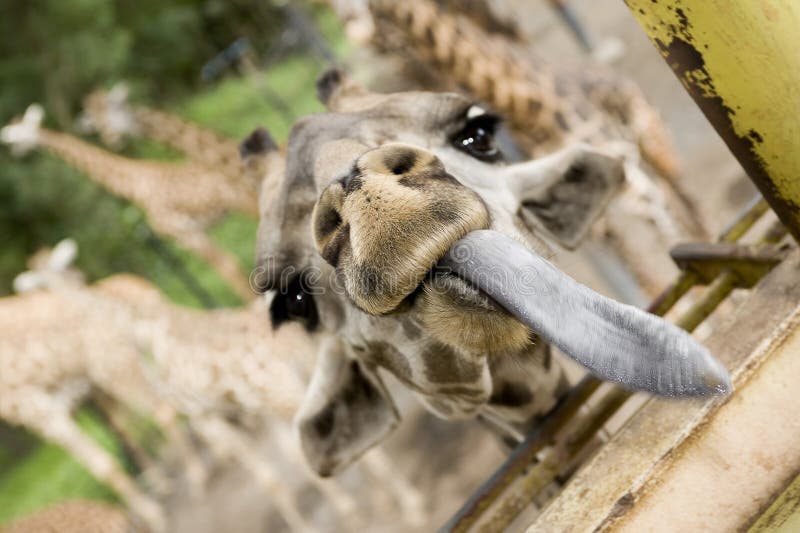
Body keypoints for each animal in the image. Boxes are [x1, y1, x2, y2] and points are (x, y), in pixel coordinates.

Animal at [0, 106, 256, 302]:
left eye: (18, 133)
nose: (15, 151)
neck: (134, 184)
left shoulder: (181, 230)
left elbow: (230, 269)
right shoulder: (187, 232)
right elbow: (231, 267)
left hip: (244, 200)